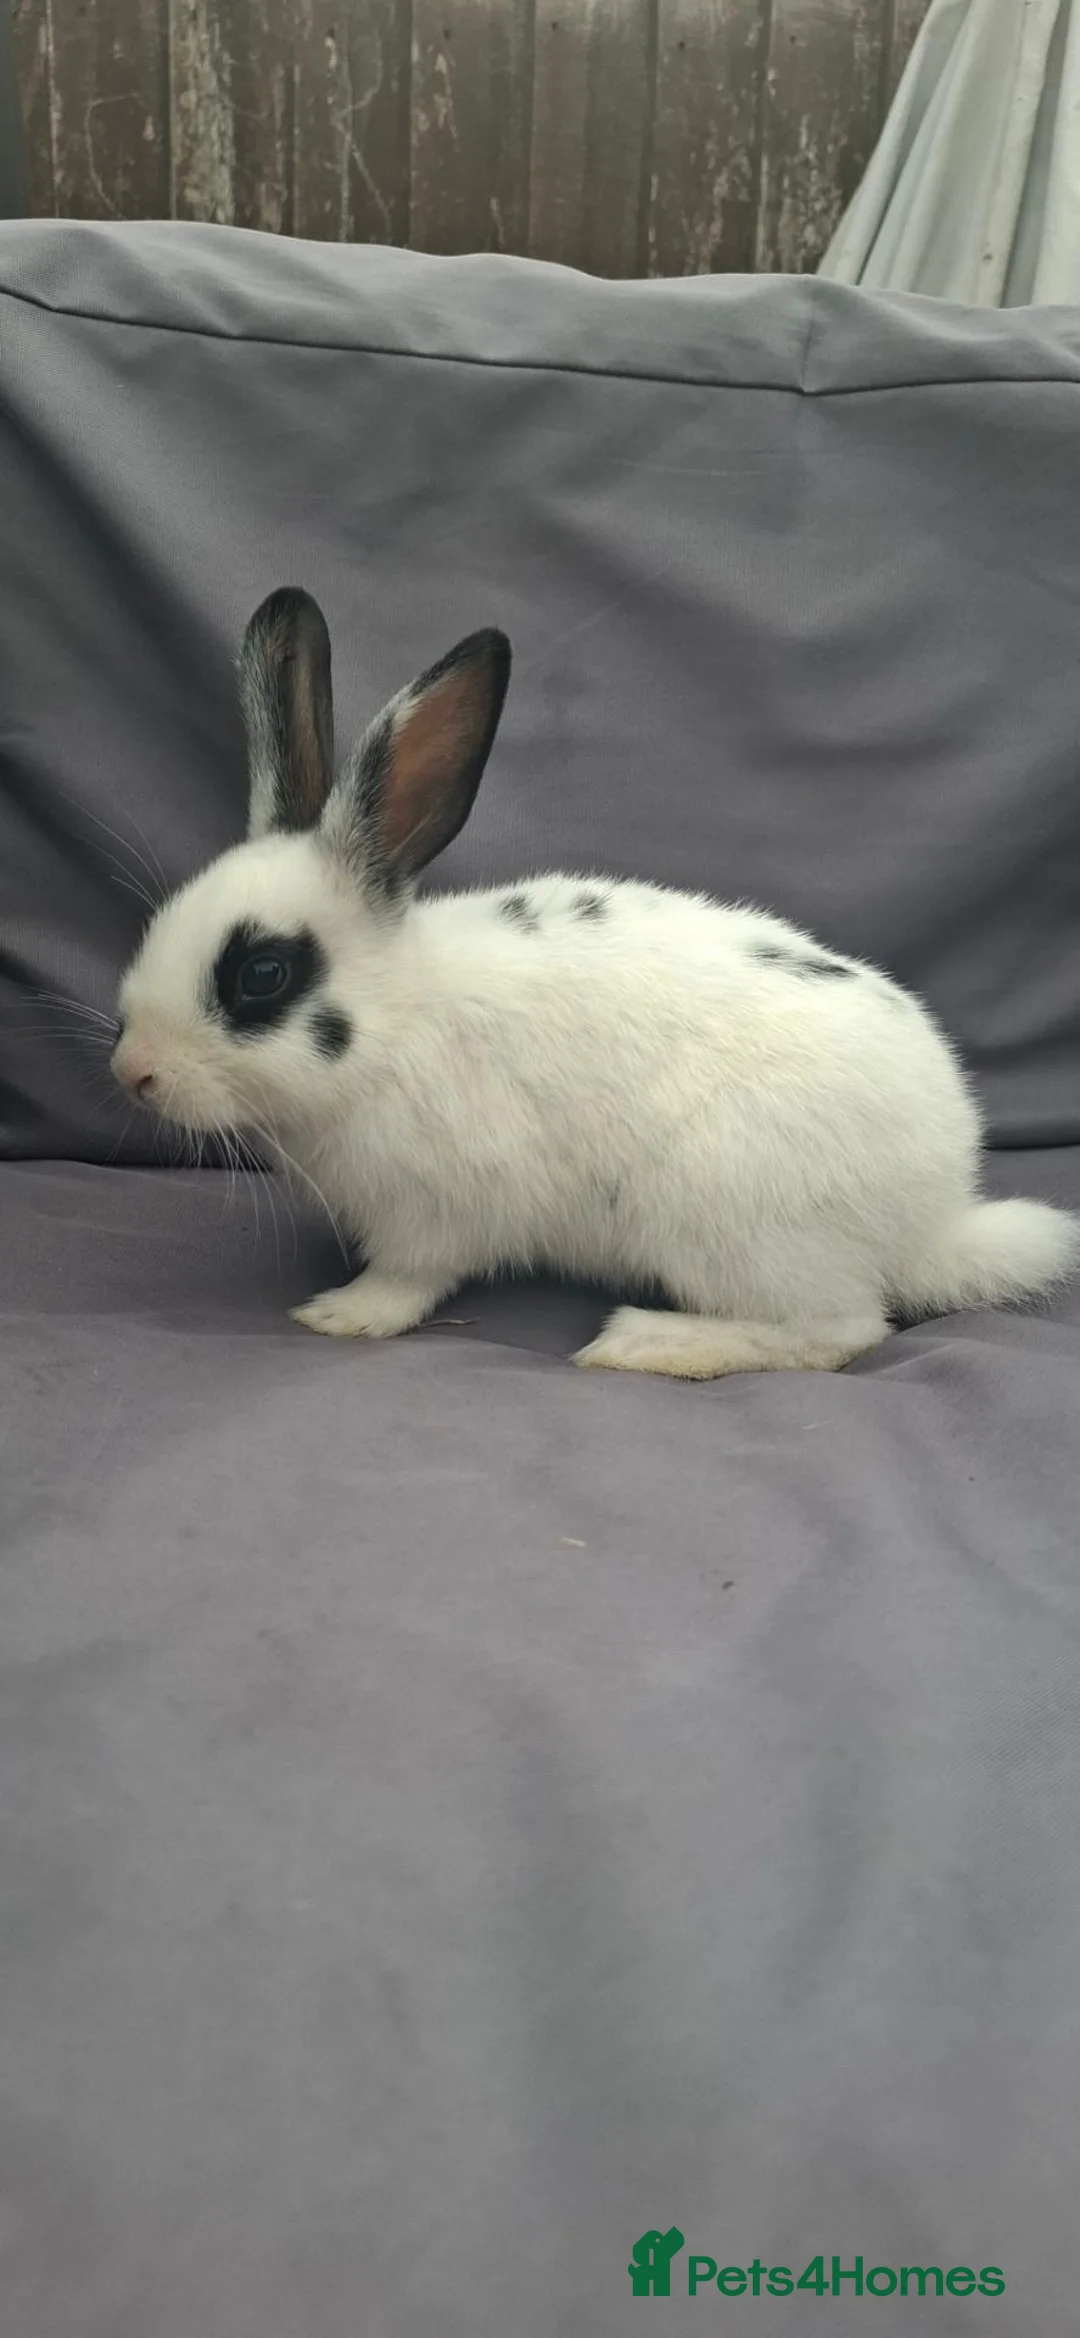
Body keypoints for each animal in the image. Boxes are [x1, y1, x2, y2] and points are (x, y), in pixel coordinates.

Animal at [111, 587, 1080, 1379]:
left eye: (262, 974)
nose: (132, 1073)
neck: (400, 1020)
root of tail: (931, 1218)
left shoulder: (436, 1210)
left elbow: (409, 1278)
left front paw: (340, 1315)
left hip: (729, 1221)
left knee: (839, 1331)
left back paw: (650, 1342)